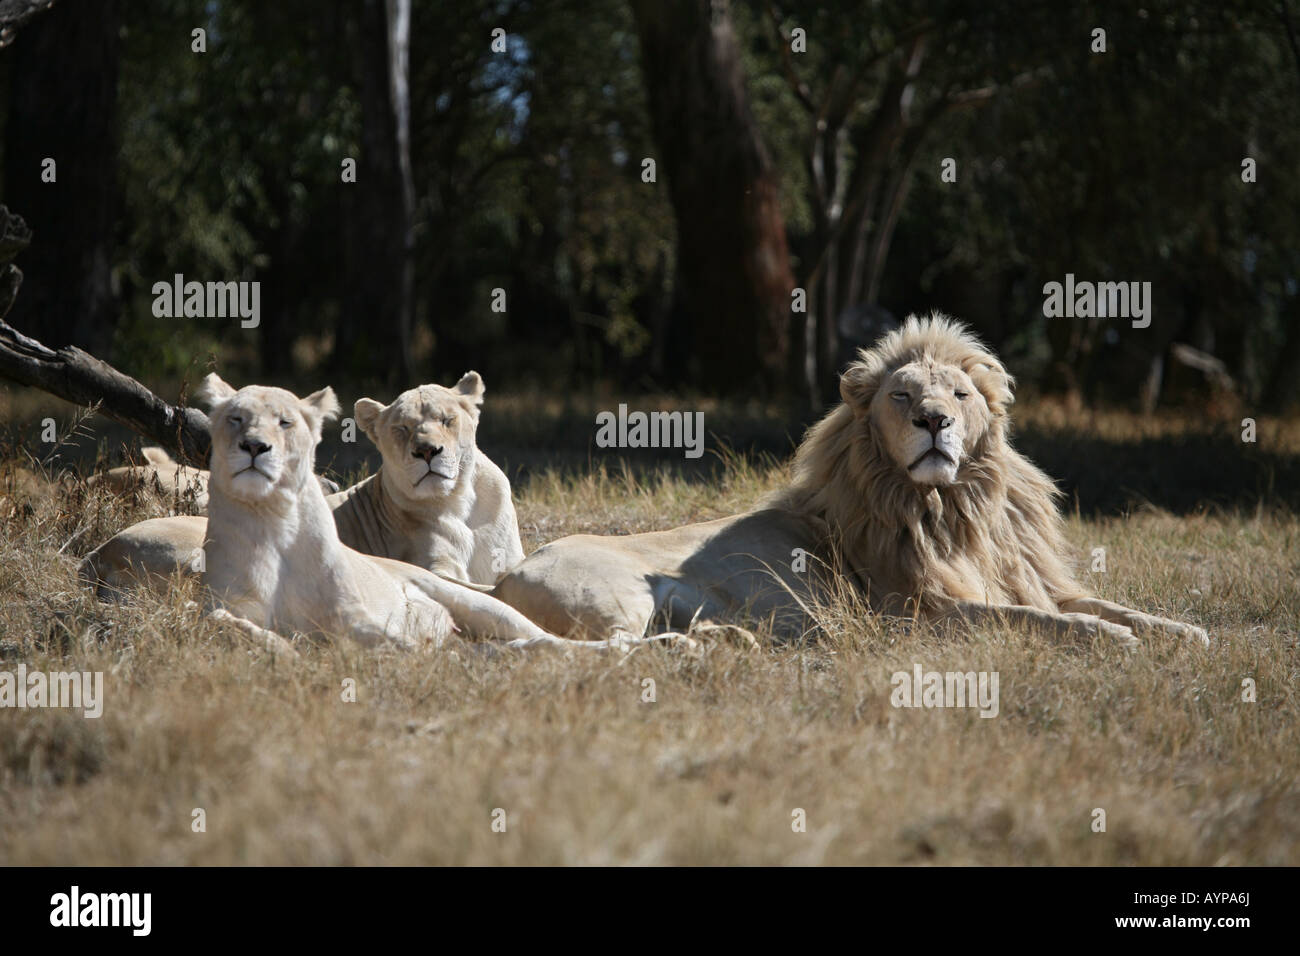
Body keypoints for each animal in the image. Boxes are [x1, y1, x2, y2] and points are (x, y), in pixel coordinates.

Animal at [79, 372, 524, 594]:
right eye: (402, 429)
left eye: (447, 419)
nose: (428, 451)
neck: (460, 503)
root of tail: (98, 550)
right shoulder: (434, 564)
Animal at [195, 373, 654, 654]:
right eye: (402, 429)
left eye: (447, 420)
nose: (427, 451)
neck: (461, 503)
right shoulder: (436, 565)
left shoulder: (508, 557)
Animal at [494, 314, 1209, 648]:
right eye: (902, 395)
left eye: (958, 393)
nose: (934, 420)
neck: (955, 508)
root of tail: (504, 576)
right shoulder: (917, 609)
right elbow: (1039, 622)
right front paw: (1113, 641)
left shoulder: (1033, 579)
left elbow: (1105, 605)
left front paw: (1185, 633)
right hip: (617, 598)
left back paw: (727, 640)